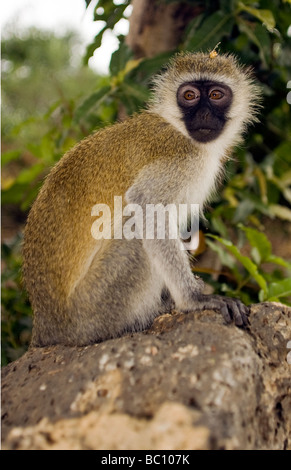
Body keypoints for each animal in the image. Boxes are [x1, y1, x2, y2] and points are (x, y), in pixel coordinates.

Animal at [21, 52, 262, 346]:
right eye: (190, 95)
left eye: (216, 95)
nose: (204, 114)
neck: (177, 127)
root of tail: (45, 325)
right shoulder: (183, 158)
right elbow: (146, 206)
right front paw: (195, 299)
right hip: (90, 311)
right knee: (136, 232)